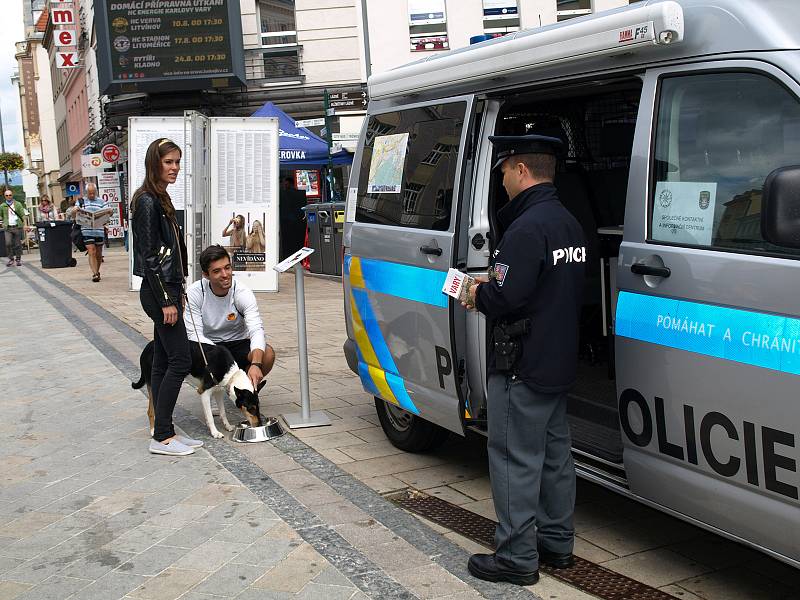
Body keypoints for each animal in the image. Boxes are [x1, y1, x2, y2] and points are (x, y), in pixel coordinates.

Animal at [132, 340, 266, 438]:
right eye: (251, 408)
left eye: (259, 407)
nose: (259, 425)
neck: (231, 374)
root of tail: (147, 347)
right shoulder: (204, 393)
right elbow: (210, 417)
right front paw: (215, 432)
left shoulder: (218, 391)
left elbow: (222, 412)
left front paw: (227, 426)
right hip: (154, 381)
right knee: (150, 410)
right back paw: (153, 430)